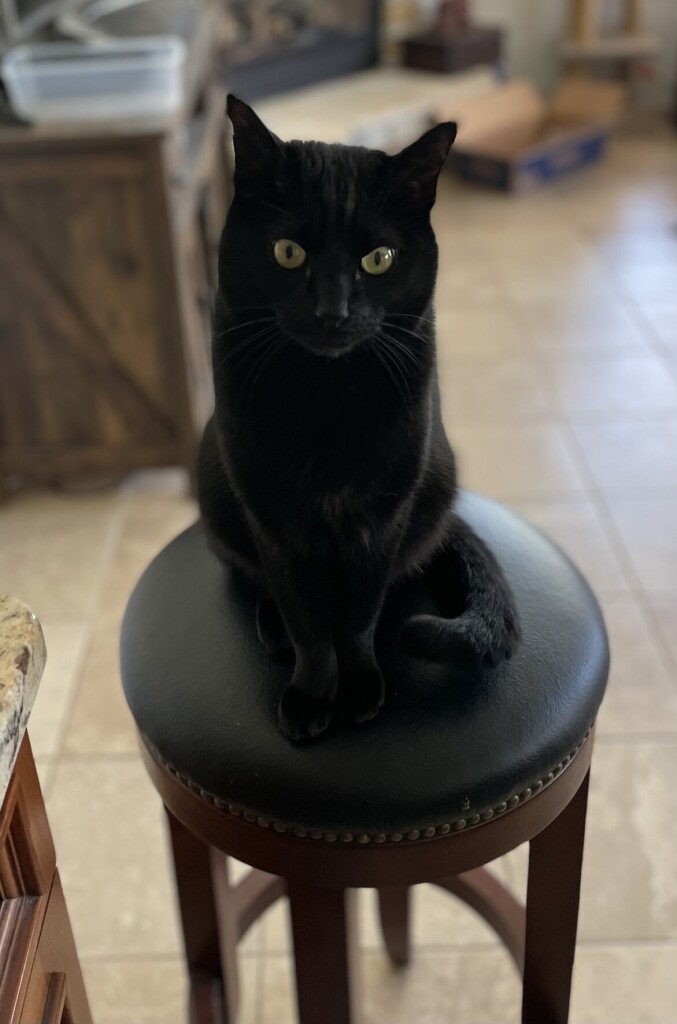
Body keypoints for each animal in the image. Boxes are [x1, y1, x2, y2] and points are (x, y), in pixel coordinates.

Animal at [197, 96, 520, 741]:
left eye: (379, 259)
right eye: (288, 252)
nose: (333, 311)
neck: (327, 398)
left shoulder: (384, 513)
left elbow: (358, 616)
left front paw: (362, 686)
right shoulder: (272, 514)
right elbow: (306, 618)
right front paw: (311, 696)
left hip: (434, 485)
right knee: (255, 579)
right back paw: (271, 627)